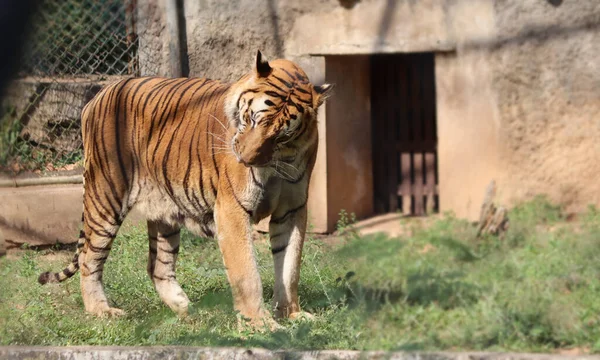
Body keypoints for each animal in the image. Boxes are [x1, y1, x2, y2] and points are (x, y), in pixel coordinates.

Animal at [38, 50, 332, 330]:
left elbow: (289, 267)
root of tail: (99, 94)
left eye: (281, 135)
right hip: (105, 196)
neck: (281, 158)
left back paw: (186, 309)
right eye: (251, 119)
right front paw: (260, 324)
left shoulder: (292, 209)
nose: (245, 159)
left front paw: (291, 315)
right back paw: (101, 311)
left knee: (157, 266)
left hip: (164, 210)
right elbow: (247, 272)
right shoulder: (232, 209)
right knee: (89, 258)